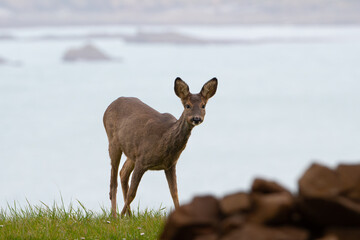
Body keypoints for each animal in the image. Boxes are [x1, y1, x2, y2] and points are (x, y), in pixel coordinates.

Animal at [102, 77, 218, 218]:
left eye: (203, 105)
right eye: (187, 105)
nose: (196, 118)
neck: (164, 141)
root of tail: (109, 106)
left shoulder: (170, 164)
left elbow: (174, 193)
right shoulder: (142, 160)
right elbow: (132, 194)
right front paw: (120, 217)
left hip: (132, 152)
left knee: (123, 172)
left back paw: (129, 216)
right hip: (113, 142)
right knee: (113, 182)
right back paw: (115, 217)